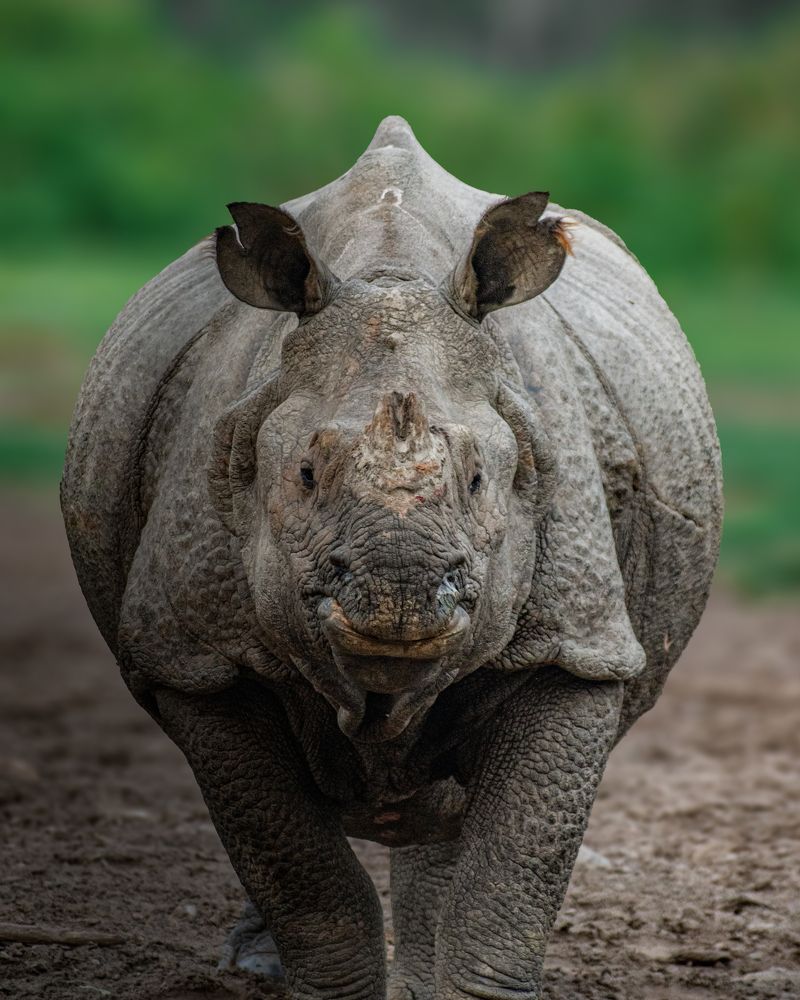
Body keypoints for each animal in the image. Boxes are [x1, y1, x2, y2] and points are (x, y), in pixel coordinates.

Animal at [62, 116, 722, 999]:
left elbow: (516, 870)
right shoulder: (194, 654)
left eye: (478, 479)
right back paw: (257, 967)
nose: (399, 594)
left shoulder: (577, 644)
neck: (390, 272)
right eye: (305, 474)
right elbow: (295, 863)